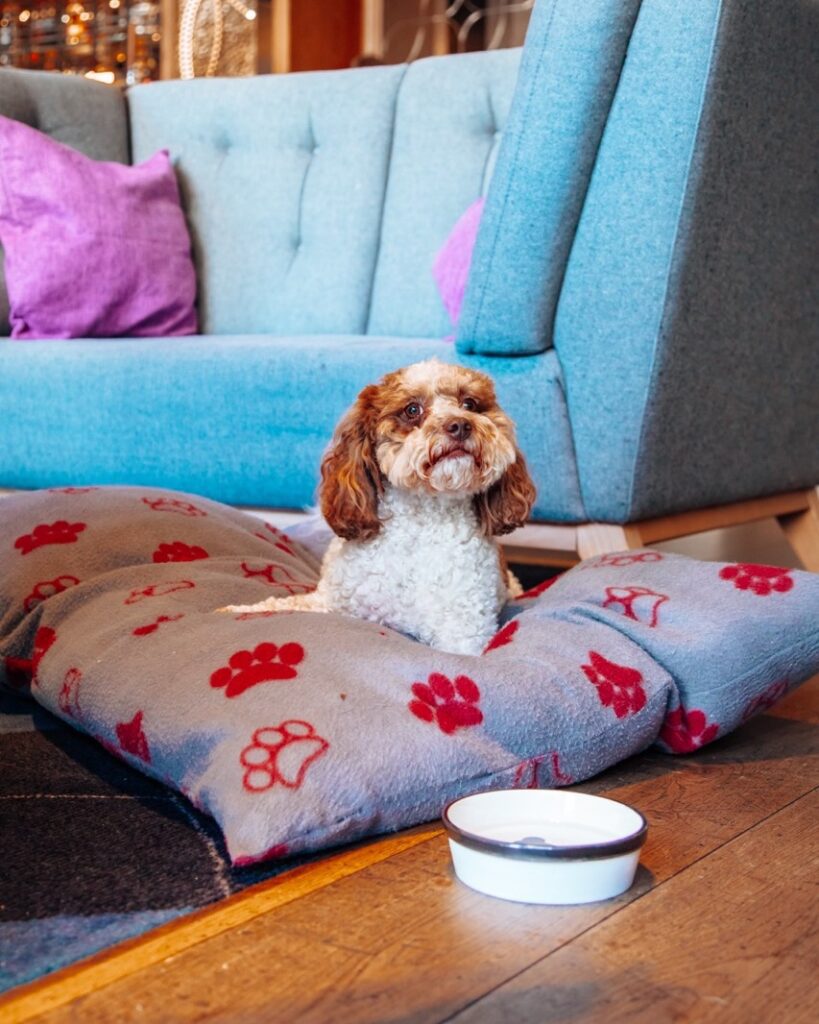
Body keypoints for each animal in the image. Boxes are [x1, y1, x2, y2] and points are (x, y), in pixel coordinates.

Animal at [221, 356, 532, 651]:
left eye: (470, 404)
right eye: (412, 410)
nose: (460, 424)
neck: (419, 522)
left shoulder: (464, 632)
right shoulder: (331, 602)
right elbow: (280, 605)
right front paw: (233, 611)